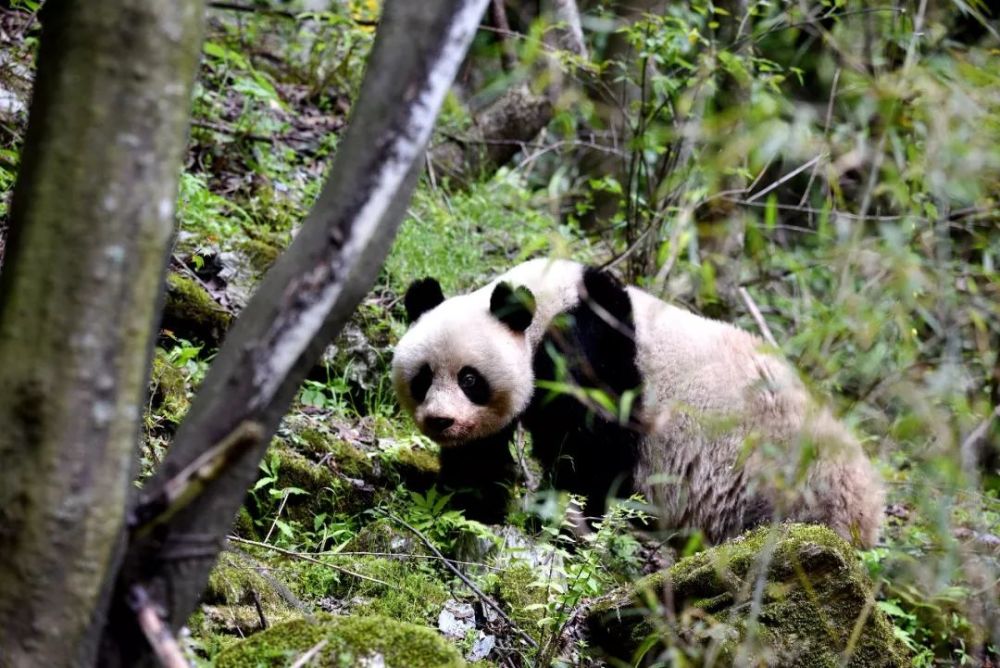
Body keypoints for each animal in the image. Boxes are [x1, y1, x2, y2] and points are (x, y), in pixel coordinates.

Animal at [390, 258, 884, 544]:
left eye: (470, 378)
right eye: (422, 378)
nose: (440, 421)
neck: (545, 302)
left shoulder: (589, 346)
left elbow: (591, 447)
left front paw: (560, 519)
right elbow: (485, 451)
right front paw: (469, 503)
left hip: (785, 480)